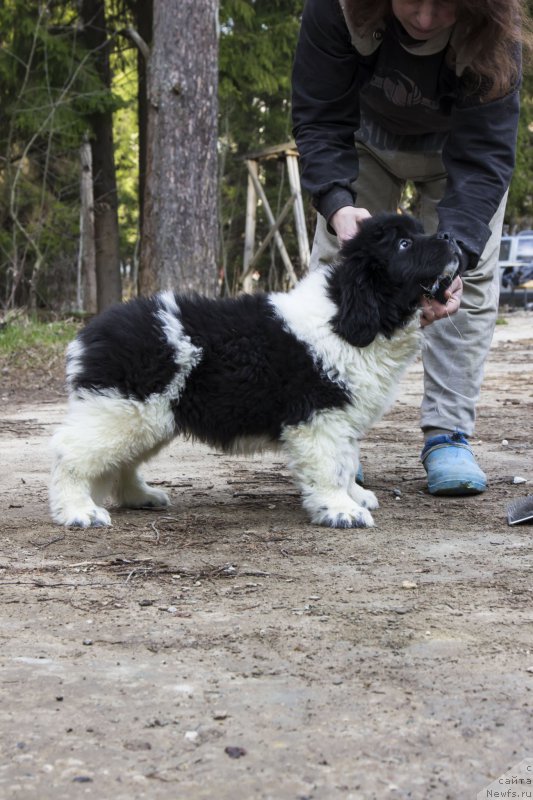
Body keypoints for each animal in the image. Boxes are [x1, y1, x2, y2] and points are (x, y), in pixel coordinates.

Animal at [48, 211, 458, 532]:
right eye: (404, 244)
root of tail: (90, 334)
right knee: (70, 454)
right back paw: (79, 511)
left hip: (150, 417)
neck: (346, 311)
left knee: (121, 460)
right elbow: (330, 465)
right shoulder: (319, 415)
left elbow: (347, 460)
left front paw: (354, 496)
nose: (451, 237)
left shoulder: (341, 416)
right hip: (124, 410)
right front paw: (341, 510)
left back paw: (140, 496)